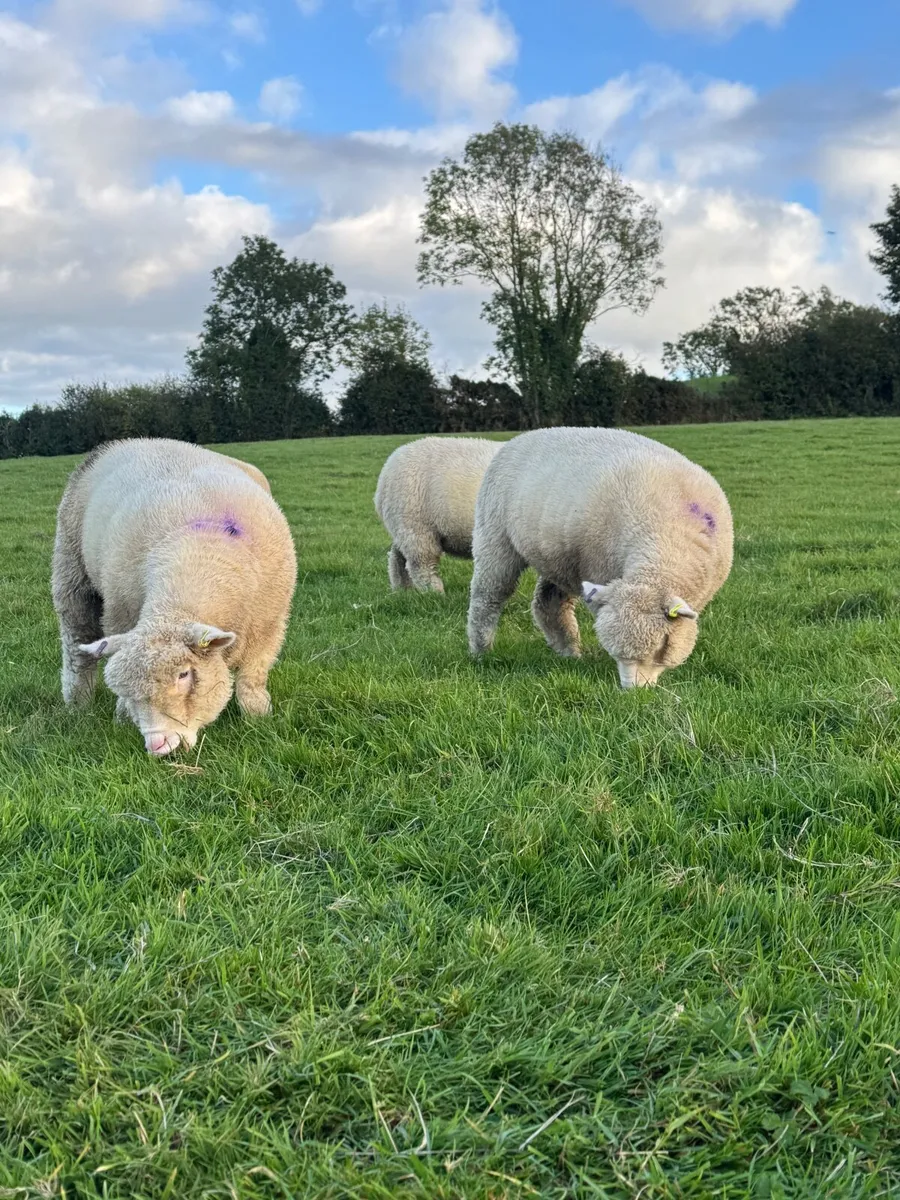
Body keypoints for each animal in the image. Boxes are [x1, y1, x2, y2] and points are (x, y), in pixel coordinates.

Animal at [52, 437, 297, 756]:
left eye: (184, 675)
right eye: (127, 691)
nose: (158, 745)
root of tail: (133, 441)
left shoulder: (268, 628)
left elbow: (251, 679)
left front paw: (258, 718)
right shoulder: (121, 617)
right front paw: (122, 717)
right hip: (71, 571)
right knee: (76, 648)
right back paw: (77, 705)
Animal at [374, 436, 503, 592]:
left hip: (403, 527)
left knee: (397, 558)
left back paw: (402, 589)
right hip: (417, 527)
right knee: (422, 566)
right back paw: (435, 592)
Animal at [466, 427, 733, 687]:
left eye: (661, 646)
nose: (633, 691)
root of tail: (520, 437)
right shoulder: (600, 570)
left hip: (557, 556)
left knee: (548, 602)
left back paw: (568, 652)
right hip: (495, 536)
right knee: (487, 596)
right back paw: (481, 650)